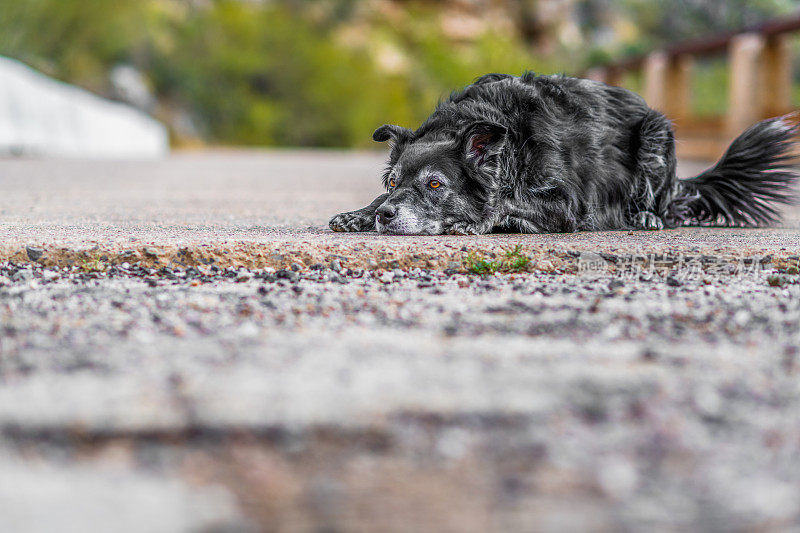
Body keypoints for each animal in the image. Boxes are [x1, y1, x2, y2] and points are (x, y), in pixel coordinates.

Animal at [328, 71, 796, 234]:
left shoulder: (567, 205)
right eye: (393, 182)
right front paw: (359, 213)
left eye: (435, 185)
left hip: (655, 138)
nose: (386, 215)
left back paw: (646, 216)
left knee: (661, 203)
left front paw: (480, 220)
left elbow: (508, 202)